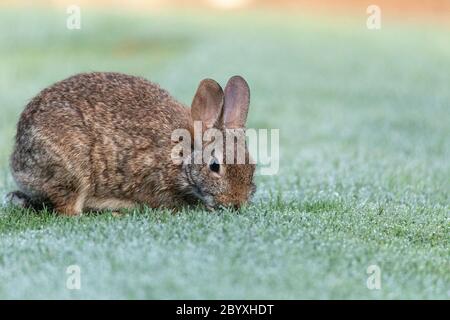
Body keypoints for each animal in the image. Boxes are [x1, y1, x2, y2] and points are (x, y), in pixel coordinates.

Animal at [6, 73, 256, 215]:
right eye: (215, 166)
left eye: (252, 167)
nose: (236, 204)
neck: (184, 156)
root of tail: (18, 162)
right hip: (70, 171)